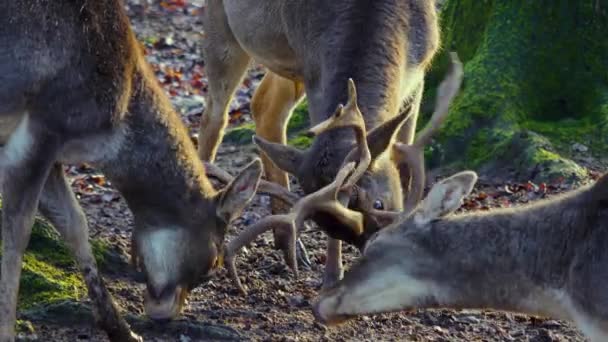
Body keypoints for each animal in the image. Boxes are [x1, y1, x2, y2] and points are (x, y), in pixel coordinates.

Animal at [0, 1, 294, 340]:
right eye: (213, 264)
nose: (166, 315)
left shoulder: (48, 150)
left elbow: (75, 223)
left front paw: (121, 329)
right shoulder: (42, 126)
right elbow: (17, 233)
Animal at [200, 0, 442, 288]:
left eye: (379, 204)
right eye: (325, 225)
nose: (374, 251)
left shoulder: (420, 72)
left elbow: (403, 166)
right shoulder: (314, 72)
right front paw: (332, 276)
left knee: (265, 105)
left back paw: (288, 243)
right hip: (224, 28)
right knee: (215, 113)